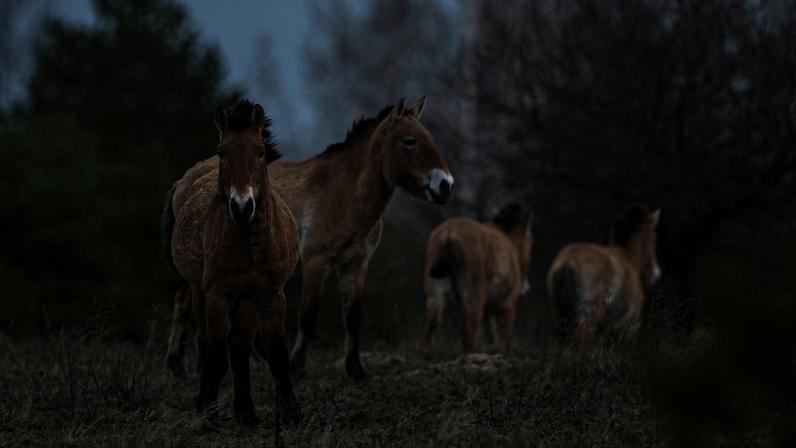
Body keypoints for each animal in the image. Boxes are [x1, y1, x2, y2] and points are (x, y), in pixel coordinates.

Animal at [162, 100, 301, 426]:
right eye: (222, 151)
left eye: (260, 151)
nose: (241, 206)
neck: (251, 245)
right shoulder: (217, 294)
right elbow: (215, 354)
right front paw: (208, 416)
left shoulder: (271, 294)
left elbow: (276, 354)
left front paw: (291, 413)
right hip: (200, 292)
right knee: (205, 342)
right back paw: (207, 402)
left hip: (245, 299)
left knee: (240, 344)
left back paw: (245, 410)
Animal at [166, 96, 454, 381]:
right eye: (409, 141)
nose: (445, 185)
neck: (344, 193)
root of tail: (187, 178)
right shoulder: (317, 261)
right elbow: (308, 314)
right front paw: (297, 367)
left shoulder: (355, 265)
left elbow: (352, 317)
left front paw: (356, 370)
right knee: (186, 303)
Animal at [424, 202, 533, 353]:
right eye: (530, 238)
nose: (526, 289)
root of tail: (449, 232)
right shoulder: (508, 305)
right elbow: (505, 337)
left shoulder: (489, 309)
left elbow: (490, 334)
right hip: (473, 299)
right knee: (469, 337)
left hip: (434, 296)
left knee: (430, 331)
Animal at [547, 204, 661, 344]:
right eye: (654, 237)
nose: (655, 273)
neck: (629, 258)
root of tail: (568, 262)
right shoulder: (630, 325)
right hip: (586, 318)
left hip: (561, 315)